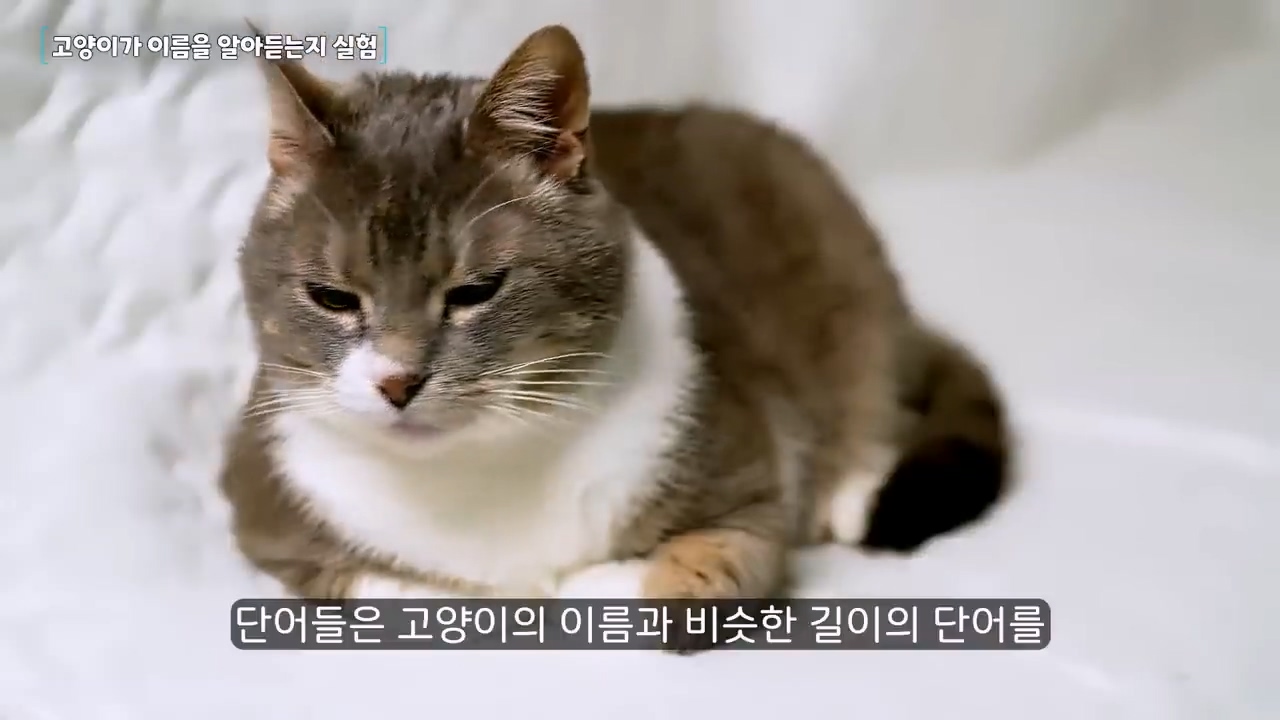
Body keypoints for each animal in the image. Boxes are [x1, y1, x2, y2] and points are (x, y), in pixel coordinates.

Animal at [220, 23, 1012, 640]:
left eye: (476, 291)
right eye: (331, 298)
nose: (397, 381)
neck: (474, 469)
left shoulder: (748, 477)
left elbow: (698, 575)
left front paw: (599, 583)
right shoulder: (267, 503)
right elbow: (399, 592)